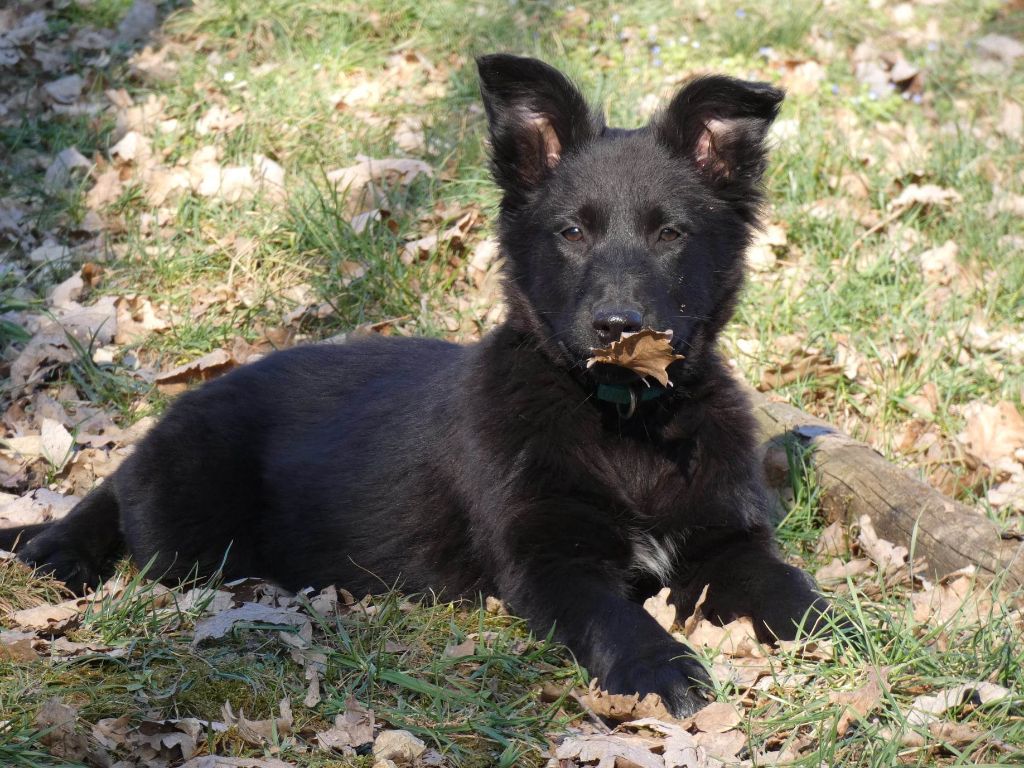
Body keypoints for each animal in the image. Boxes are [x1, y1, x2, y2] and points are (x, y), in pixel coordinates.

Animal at [0, 55, 823, 720]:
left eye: (670, 233)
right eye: (571, 232)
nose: (618, 325)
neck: (623, 424)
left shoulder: (725, 538)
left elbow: (787, 584)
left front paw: (836, 625)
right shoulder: (550, 562)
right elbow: (616, 618)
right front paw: (662, 668)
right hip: (189, 530)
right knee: (120, 493)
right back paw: (59, 550)